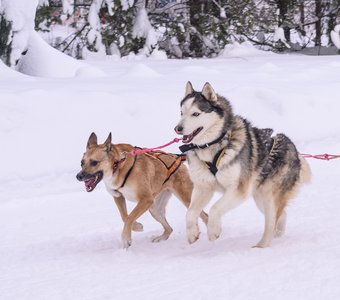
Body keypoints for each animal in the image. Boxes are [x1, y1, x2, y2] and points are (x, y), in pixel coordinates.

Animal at [76, 133, 207, 248]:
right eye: (82, 163)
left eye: (94, 162)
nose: (78, 176)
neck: (118, 165)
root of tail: (177, 158)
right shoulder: (118, 197)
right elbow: (125, 217)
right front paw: (136, 226)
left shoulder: (145, 199)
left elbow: (129, 217)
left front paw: (126, 238)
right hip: (154, 209)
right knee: (170, 228)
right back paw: (163, 237)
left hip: (185, 199)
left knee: (205, 216)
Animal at [175, 81, 310, 247]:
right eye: (181, 113)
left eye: (195, 114)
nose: (178, 128)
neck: (214, 146)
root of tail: (293, 148)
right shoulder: (203, 188)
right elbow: (190, 213)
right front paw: (192, 233)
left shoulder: (238, 190)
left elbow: (215, 208)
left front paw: (213, 231)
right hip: (260, 198)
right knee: (281, 214)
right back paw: (278, 233)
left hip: (269, 197)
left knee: (271, 222)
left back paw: (261, 246)